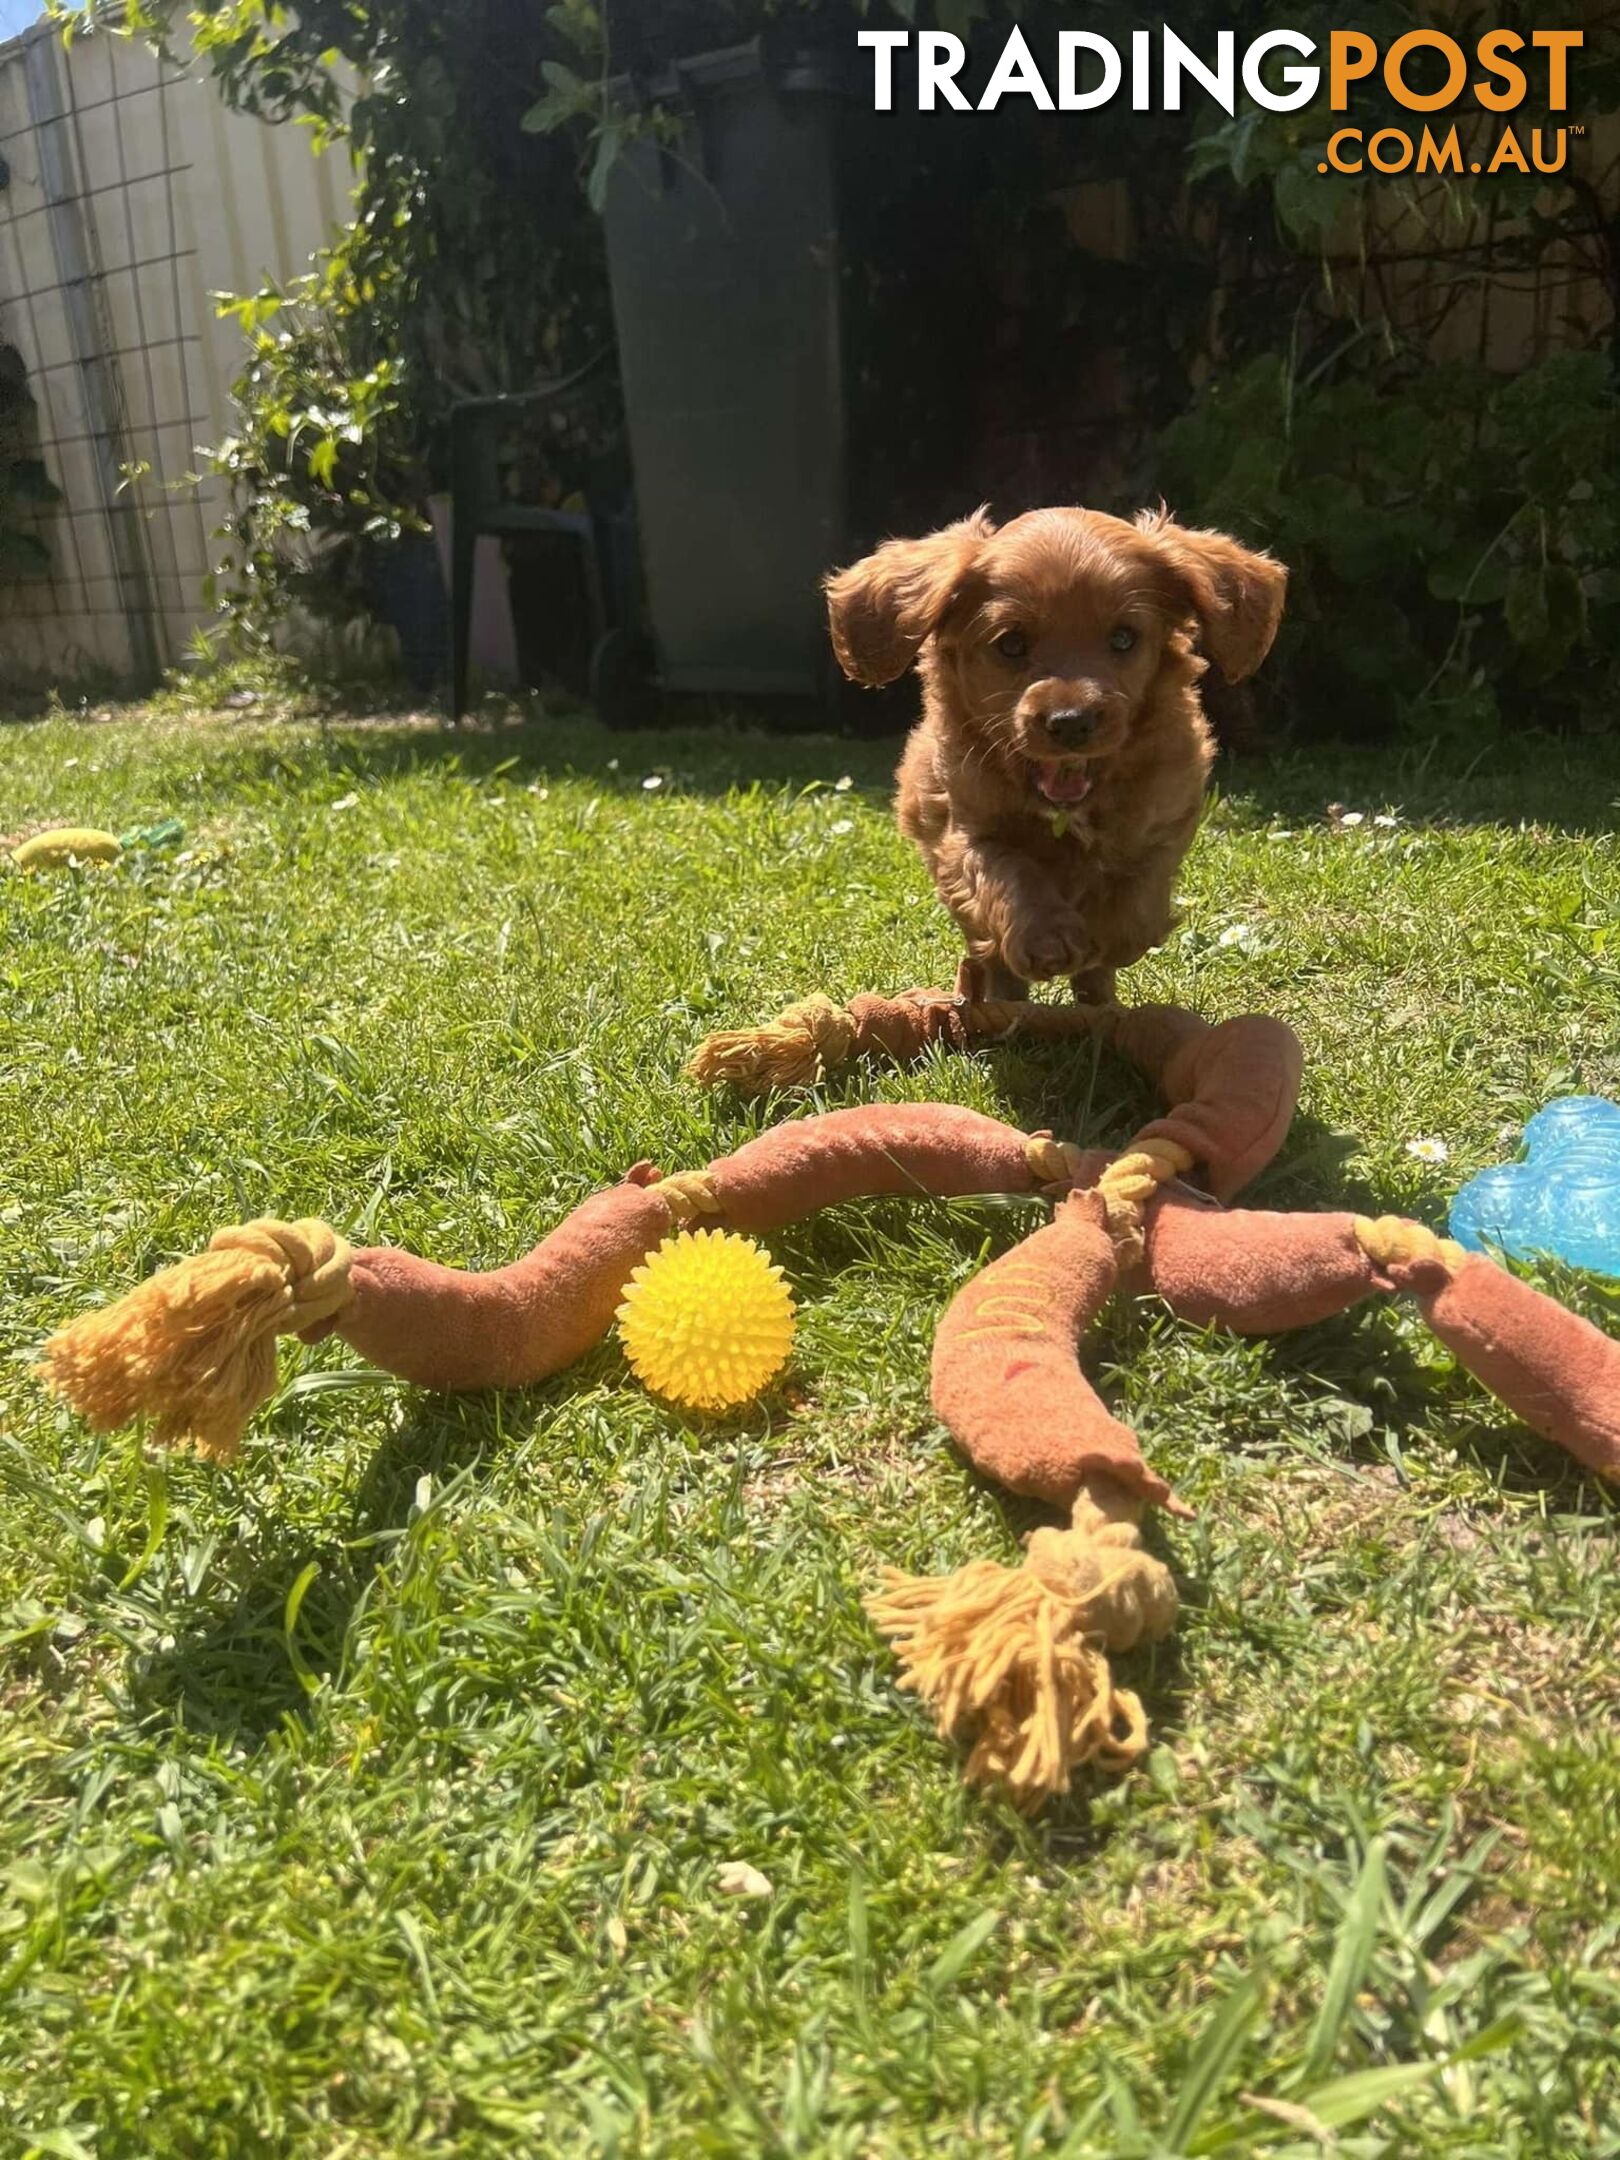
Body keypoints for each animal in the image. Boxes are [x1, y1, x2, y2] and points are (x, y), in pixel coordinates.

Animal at [829, 505, 1287, 1002]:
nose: (1071, 721)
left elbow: (1138, 890)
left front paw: (1110, 934)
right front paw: (1046, 937)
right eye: (1011, 643)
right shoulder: (963, 828)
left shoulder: (1166, 817)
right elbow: (1007, 871)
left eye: (1124, 638)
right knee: (996, 962)